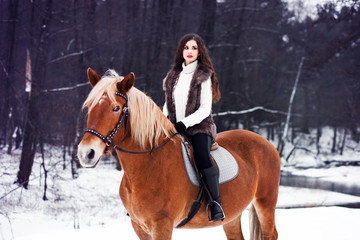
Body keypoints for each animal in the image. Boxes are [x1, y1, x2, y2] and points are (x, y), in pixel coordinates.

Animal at [77, 68, 282, 240]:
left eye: (115, 108)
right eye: (90, 107)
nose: (86, 153)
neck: (149, 164)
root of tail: (266, 143)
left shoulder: (162, 225)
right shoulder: (140, 227)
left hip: (265, 203)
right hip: (232, 216)